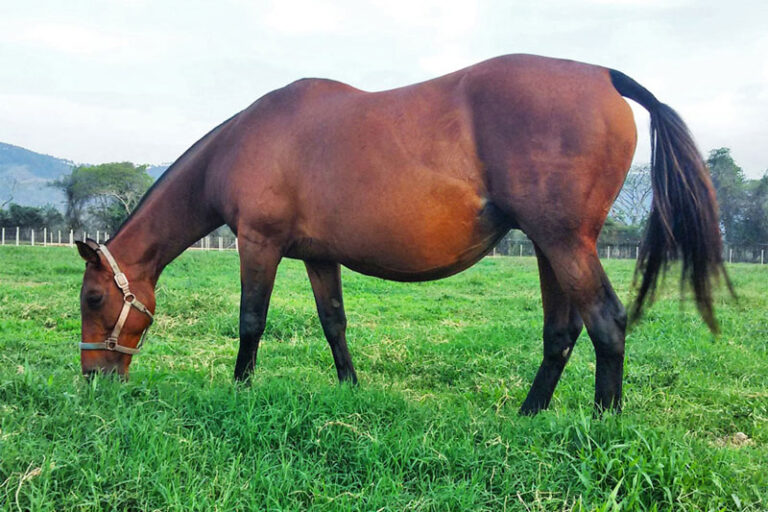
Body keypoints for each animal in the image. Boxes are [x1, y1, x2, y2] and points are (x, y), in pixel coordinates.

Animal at [76, 54, 727, 414]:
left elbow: (251, 321)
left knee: (607, 324)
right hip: (552, 246)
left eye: (93, 297)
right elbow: (334, 322)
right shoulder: (318, 257)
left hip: (566, 243)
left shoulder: (259, 244)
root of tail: (605, 77)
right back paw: (529, 413)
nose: (92, 379)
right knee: (562, 333)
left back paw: (602, 423)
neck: (246, 142)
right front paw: (350, 387)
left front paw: (240, 391)